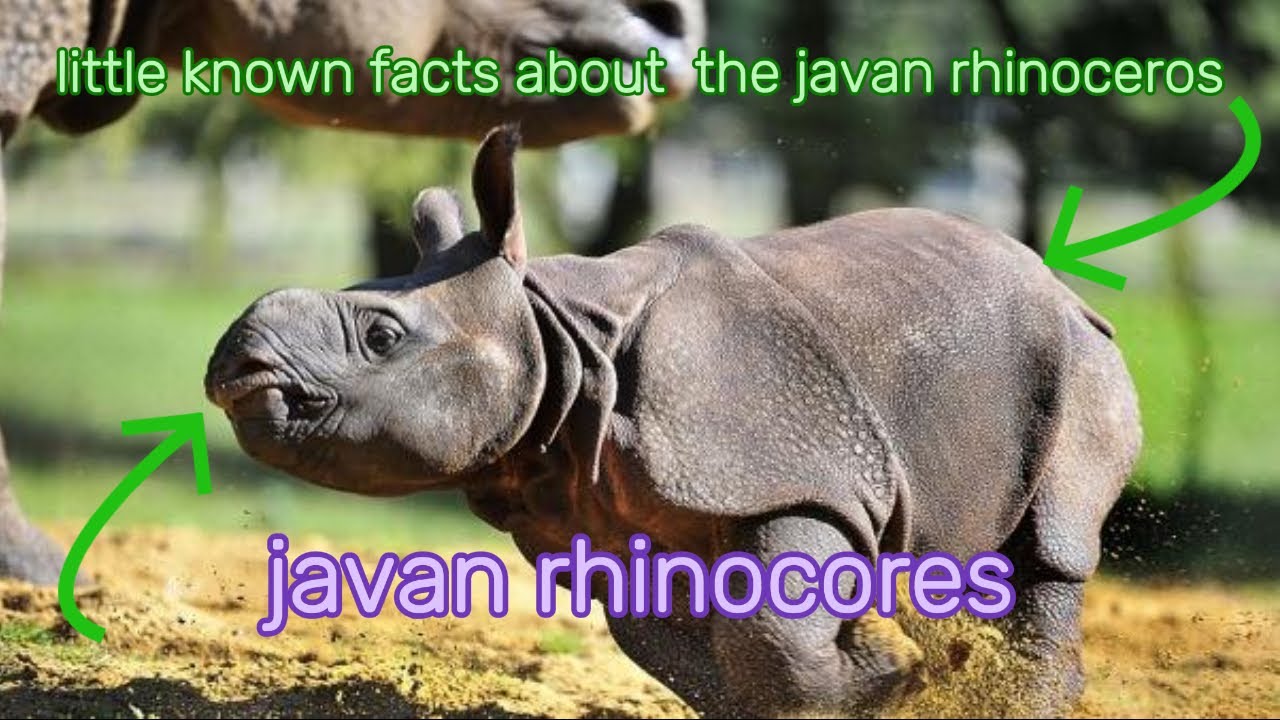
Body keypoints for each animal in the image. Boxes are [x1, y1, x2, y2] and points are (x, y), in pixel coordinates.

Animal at [205, 126, 1142, 717]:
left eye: (381, 336)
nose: (236, 367)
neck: (558, 331)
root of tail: (1067, 290)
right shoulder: (602, 519)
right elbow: (688, 650)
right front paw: (874, 679)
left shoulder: (792, 474)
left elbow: (768, 626)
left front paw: (886, 678)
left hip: (1080, 364)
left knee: (1051, 545)